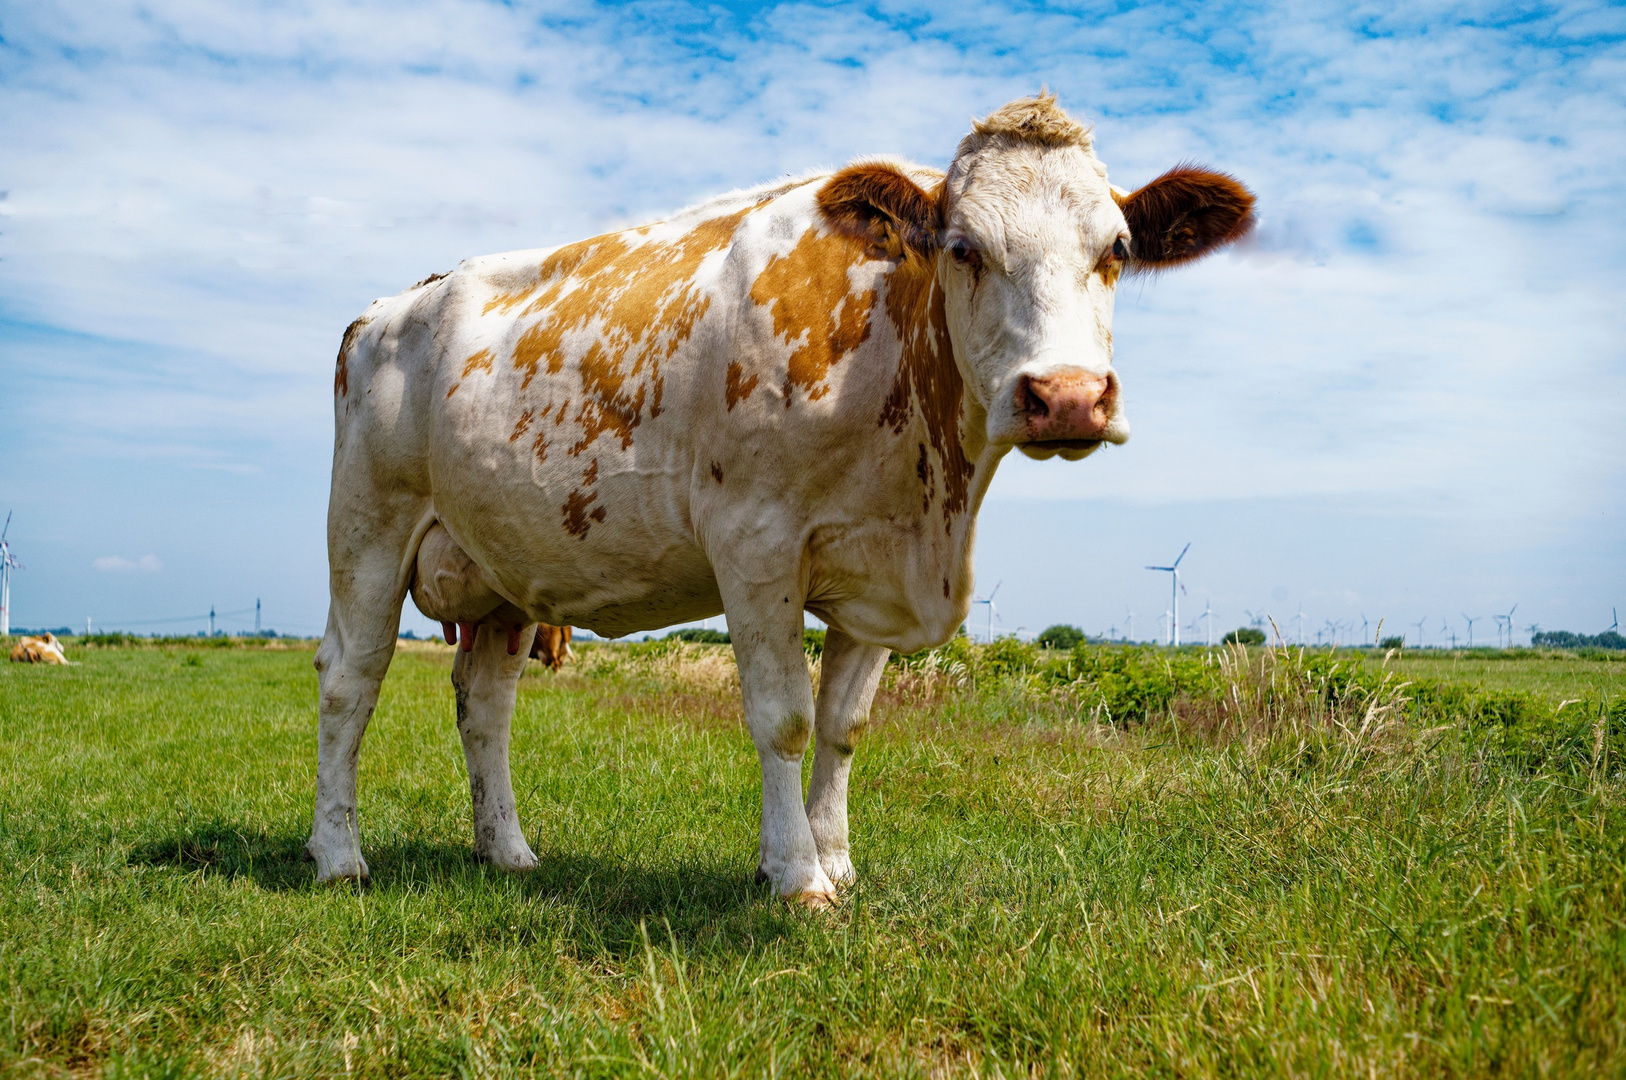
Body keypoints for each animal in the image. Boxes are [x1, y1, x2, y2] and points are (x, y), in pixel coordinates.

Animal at [313, 94, 1255, 904]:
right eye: (962, 248)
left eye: (1117, 249)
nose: (1066, 395)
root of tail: (386, 308)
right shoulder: (755, 545)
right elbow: (784, 720)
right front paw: (797, 879)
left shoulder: (874, 567)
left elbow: (843, 726)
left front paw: (835, 862)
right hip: (368, 529)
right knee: (349, 677)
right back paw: (338, 854)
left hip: (503, 565)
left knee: (485, 703)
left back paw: (506, 849)